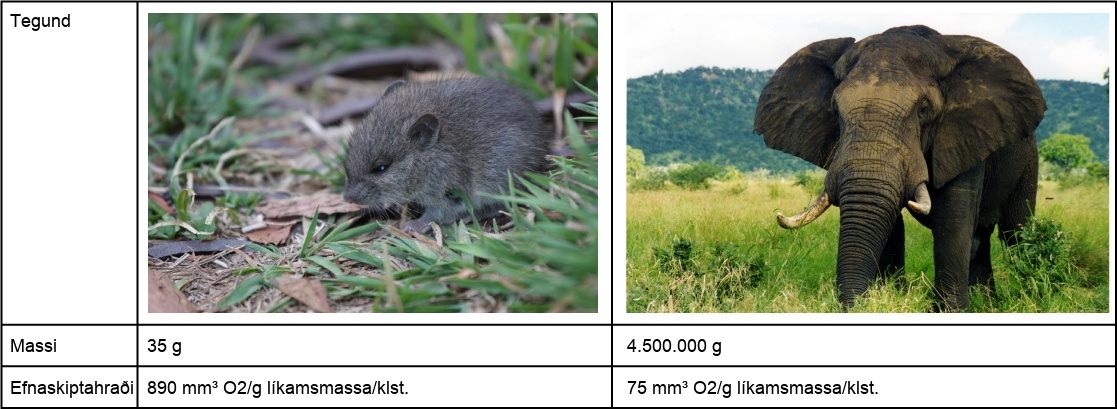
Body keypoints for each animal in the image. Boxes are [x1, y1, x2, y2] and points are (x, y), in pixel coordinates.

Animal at [753, 25, 1046, 311]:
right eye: (835, 110)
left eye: (923, 109)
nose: (857, 304)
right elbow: (889, 221)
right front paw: (889, 298)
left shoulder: (964, 133)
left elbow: (953, 218)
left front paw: (949, 311)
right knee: (982, 241)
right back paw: (987, 303)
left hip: (1028, 160)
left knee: (1015, 231)